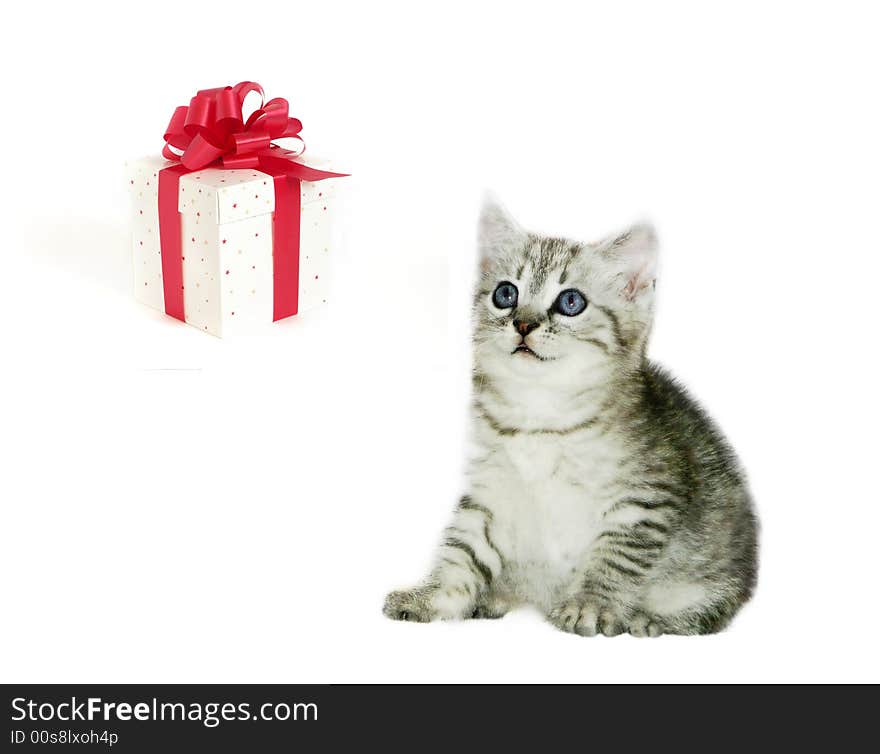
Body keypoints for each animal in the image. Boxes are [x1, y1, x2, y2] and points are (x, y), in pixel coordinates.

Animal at [384, 201, 756, 636]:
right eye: (505, 294)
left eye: (571, 302)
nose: (523, 323)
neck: (540, 417)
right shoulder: (489, 491)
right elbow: (462, 549)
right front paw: (431, 596)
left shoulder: (644, 499)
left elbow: (615, 557)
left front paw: (589, 604)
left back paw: (656, 619)